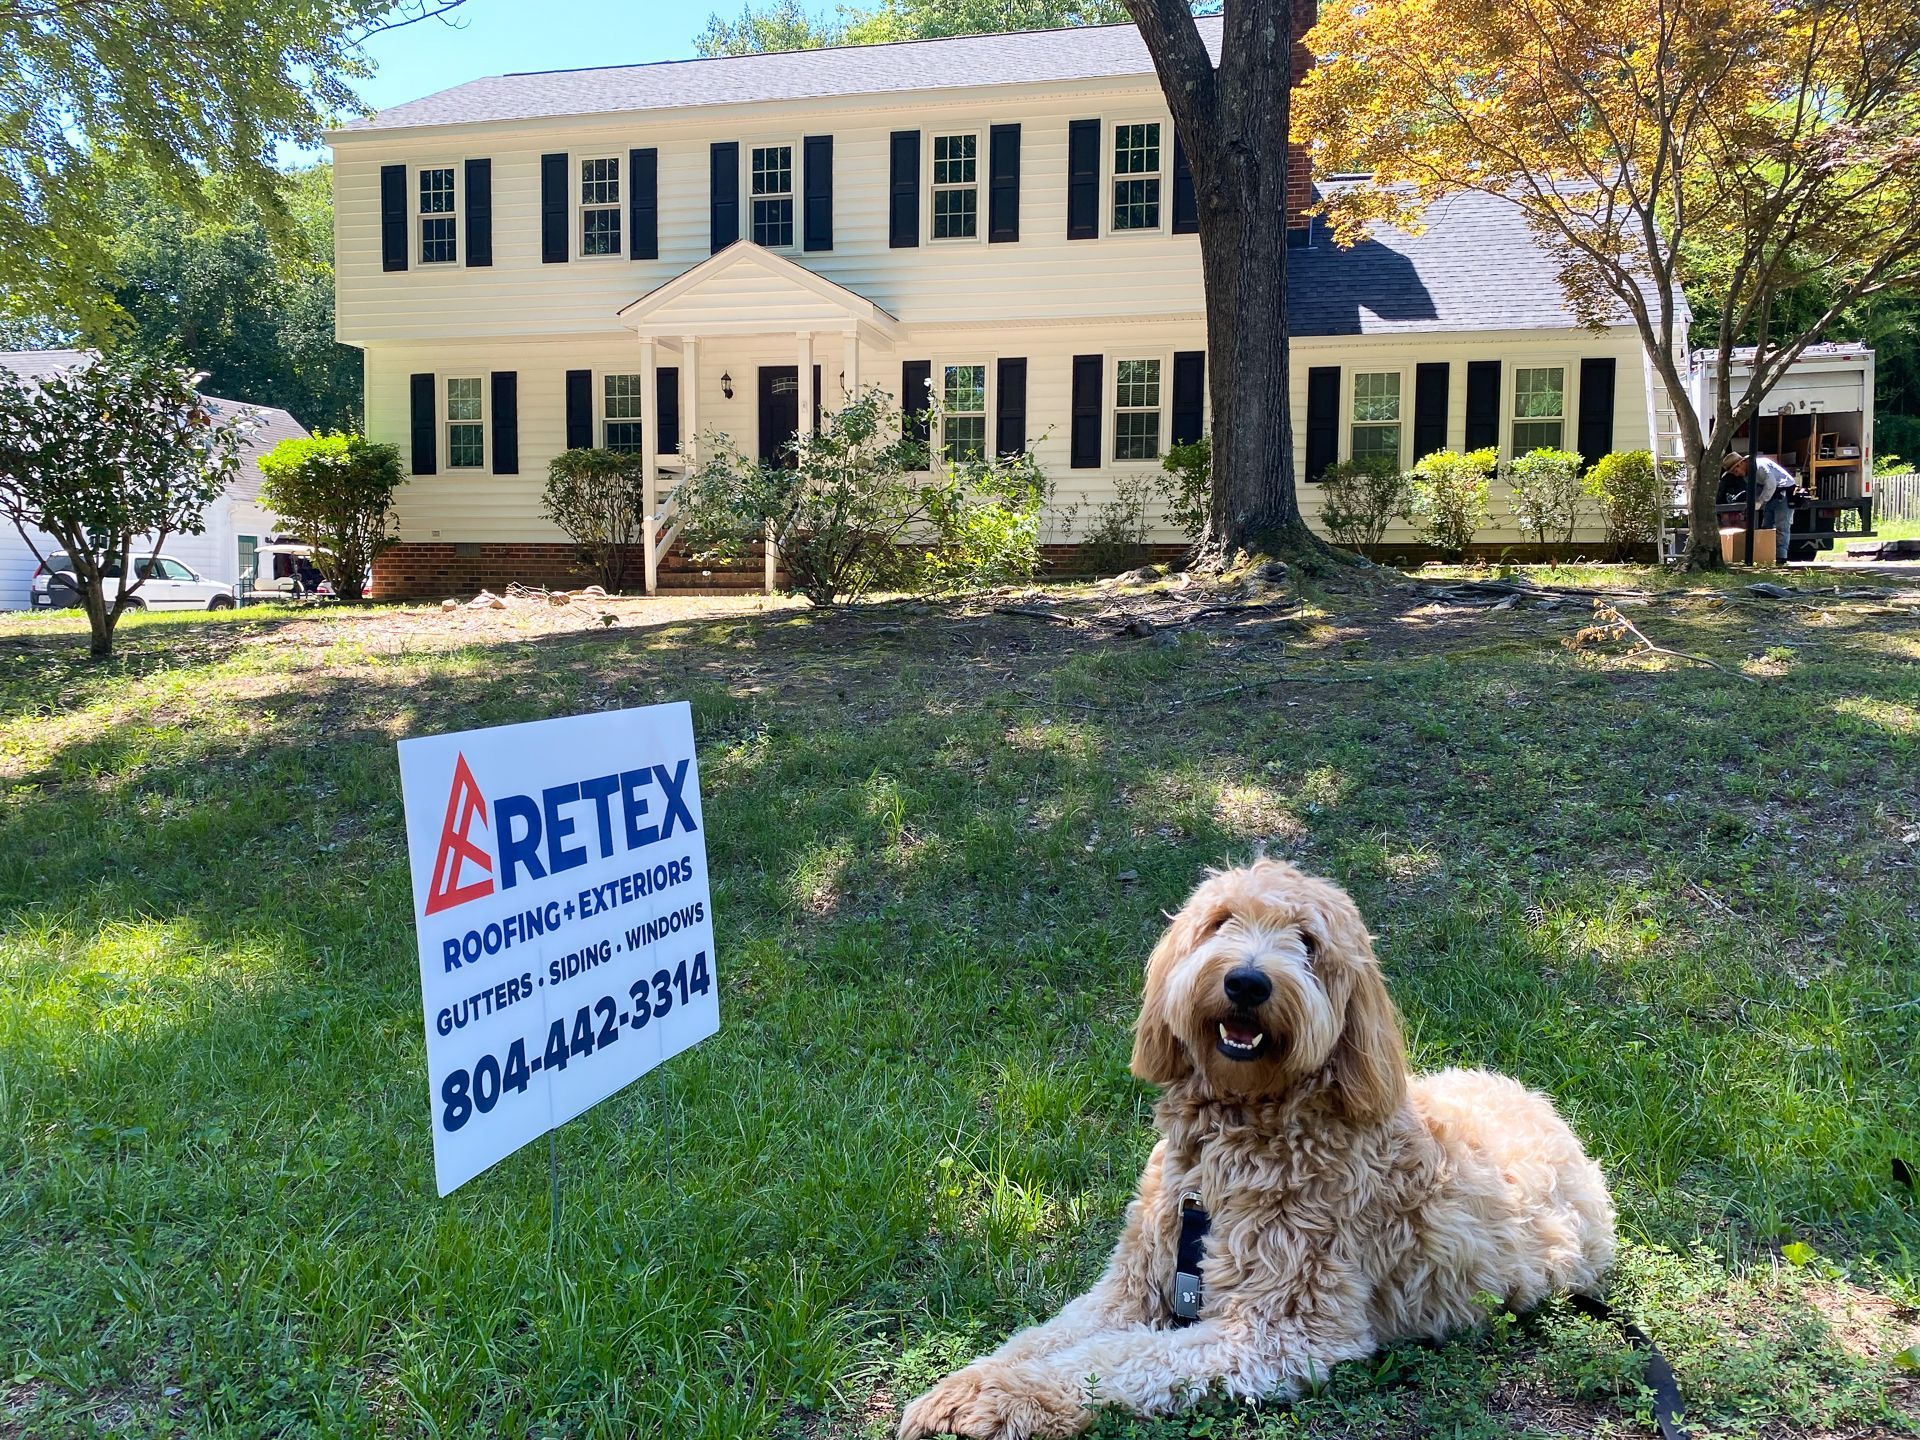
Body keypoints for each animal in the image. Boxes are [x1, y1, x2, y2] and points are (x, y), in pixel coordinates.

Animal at [894, 864, 1605, 1436]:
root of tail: (1546, 1109)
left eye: (1309, 944)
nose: (1246, 983)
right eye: (1221, 922)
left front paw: (1007, 1398)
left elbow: (1115, 1360)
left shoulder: (1277, 1328)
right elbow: (1046, 1335)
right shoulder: (1129, 1288)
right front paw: (964, 1386)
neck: (1228, 1144)